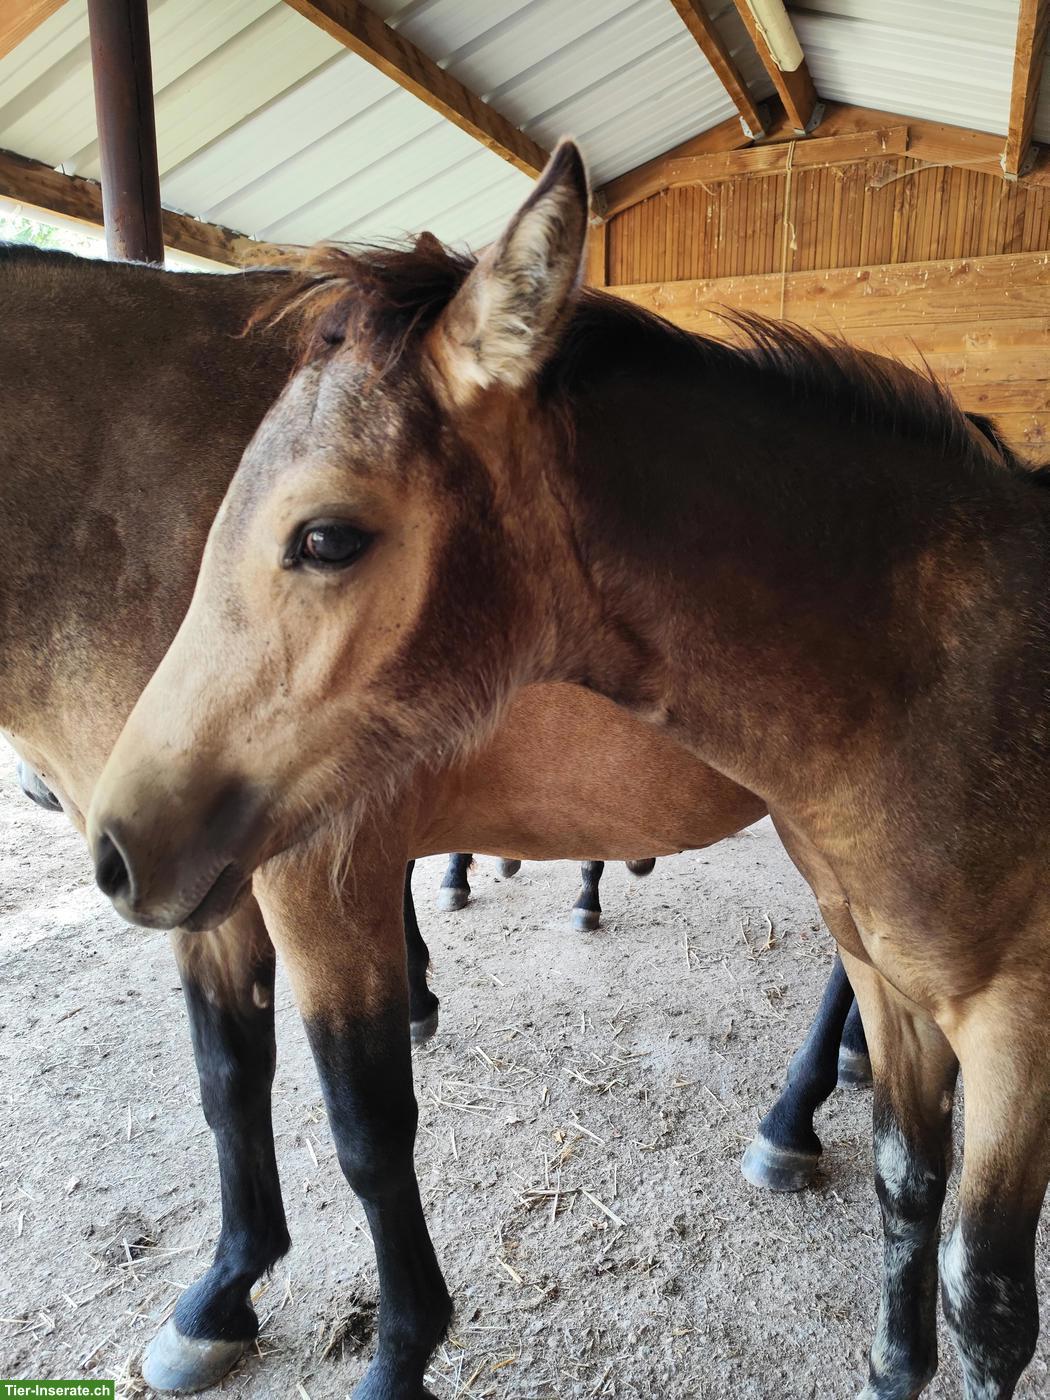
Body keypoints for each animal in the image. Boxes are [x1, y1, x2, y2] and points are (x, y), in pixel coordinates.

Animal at [0, 243, 862, 1395]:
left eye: (323, 540)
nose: (43, 796)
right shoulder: (203, 887)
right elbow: (228, 1081)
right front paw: (224, 1292)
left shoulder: (315, 876)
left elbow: (367, 1131)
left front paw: (402, 1343)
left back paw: (793, 1117)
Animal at [89, 144, 1050, 1400]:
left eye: (326, 537)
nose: (114, 847)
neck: (941, 677)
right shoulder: (891, 982)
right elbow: (905, 1187)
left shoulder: (1020, 1025)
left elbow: (988, 1301)